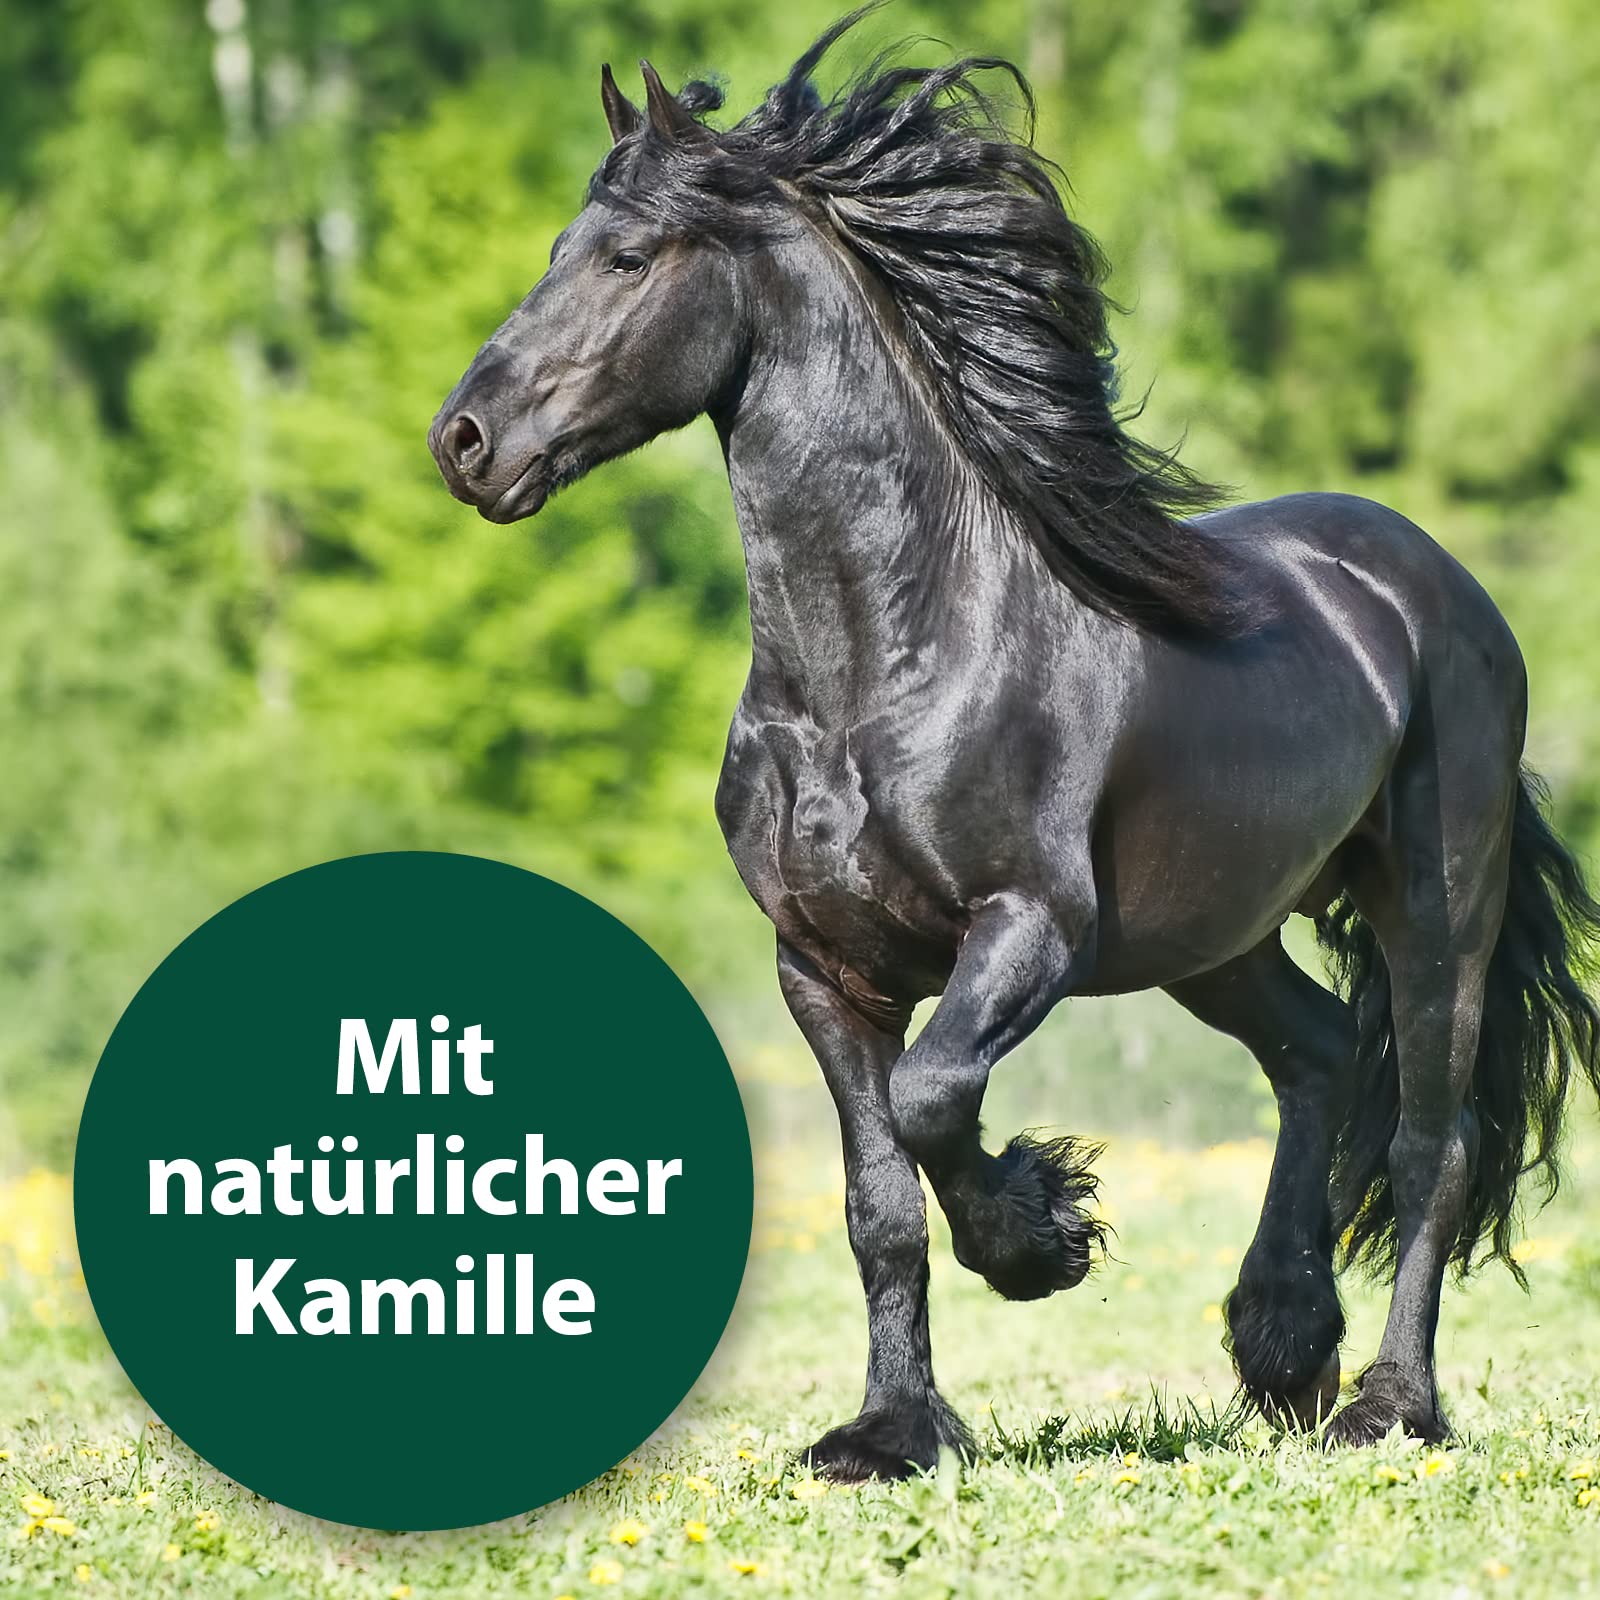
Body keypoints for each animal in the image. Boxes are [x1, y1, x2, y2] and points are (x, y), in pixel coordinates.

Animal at [428, 12, 1600, 1480]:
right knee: (1320, 1052)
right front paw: (887, 1433)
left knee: (1430, 1139)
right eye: (556, 249)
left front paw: (1043, 1236)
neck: (884, 669)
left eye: (627, 258)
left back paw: (1385, 1405)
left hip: (1438, 908)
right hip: (1213, 932)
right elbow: (878, 1203)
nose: (464, 443)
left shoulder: (1030, 929)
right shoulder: (822, 969)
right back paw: (1281, 1343)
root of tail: (1433, 581)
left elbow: (936, 1099)